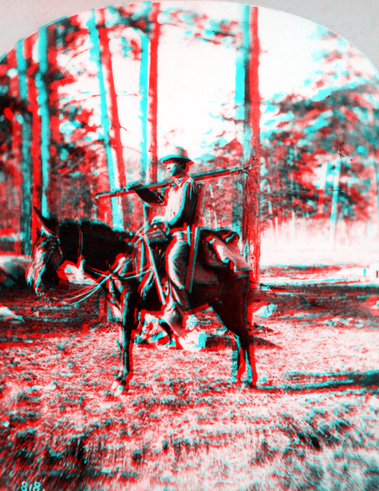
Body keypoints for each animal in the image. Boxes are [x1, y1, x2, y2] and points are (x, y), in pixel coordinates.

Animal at [27, 210, 258, 396]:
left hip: (230, 303)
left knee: (243, 335)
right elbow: (122, 341)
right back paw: (235, 376)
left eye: (45, 244)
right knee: (237, 336)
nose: (31, 280)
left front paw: (121, 382)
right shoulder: (120, 309)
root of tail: (237, 256)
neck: (120, 259)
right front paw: (119, 377)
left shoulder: (128, 306)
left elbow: (125, 340)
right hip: (220, 305)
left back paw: (248, 379)